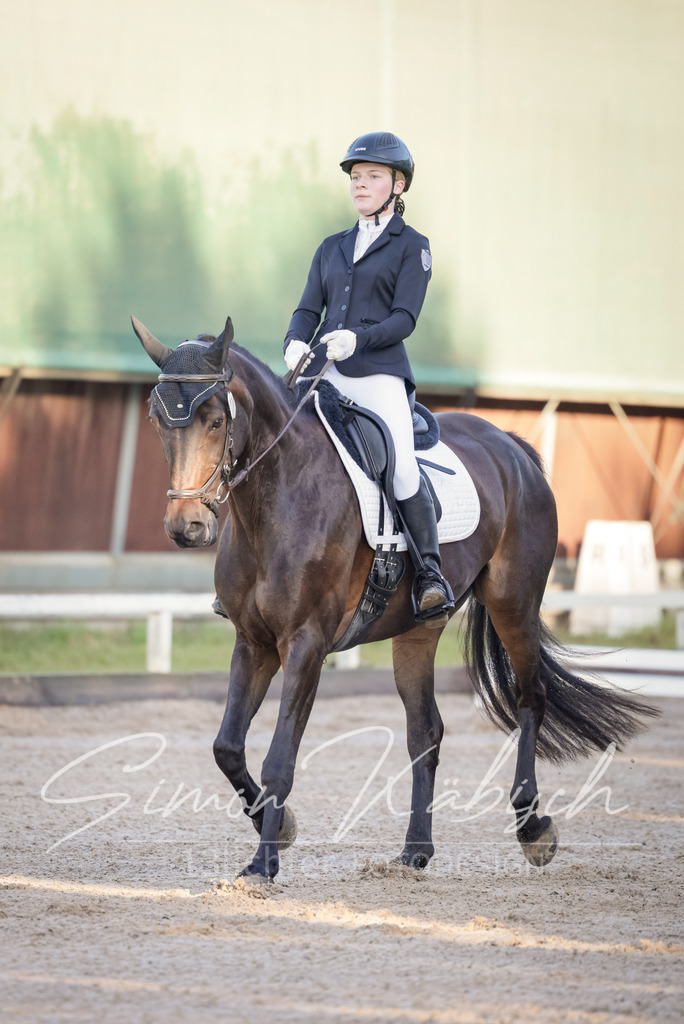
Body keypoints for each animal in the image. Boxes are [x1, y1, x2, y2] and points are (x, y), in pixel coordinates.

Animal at [132, 314, 658, 883]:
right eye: (159, 420)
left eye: (213, 420)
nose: (187, 527)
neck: (278, 494)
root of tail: (511, 447)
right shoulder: (254, 643)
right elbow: (227, 747)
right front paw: (282, 829)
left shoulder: (306, 644)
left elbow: (279, 759)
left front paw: (265, 862)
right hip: (418, 629)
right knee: (425, 731)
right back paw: (416, 851)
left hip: (513, 603)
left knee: (529, 698)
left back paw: (533, 830)